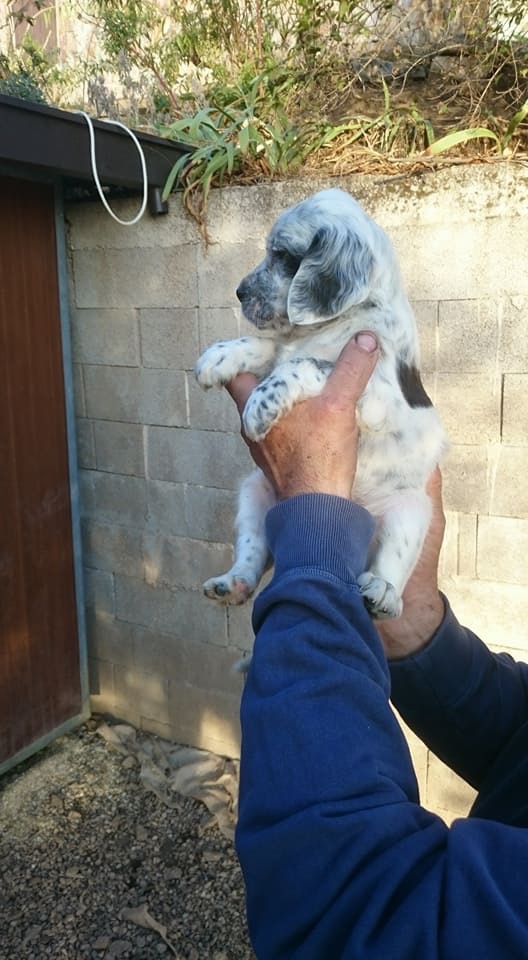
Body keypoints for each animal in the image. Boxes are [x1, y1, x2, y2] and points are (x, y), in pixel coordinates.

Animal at [195, 187, 447, 619]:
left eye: (282, 255)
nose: (239, 292)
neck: (340, 321)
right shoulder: (284, 349)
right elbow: (269, 347)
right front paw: (221, 355)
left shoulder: (377, 396)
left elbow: (305, 362)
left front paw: (260, 404)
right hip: (254, 490)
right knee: (254, 550)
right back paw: (232, 583)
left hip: (412, 510)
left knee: (393, 564)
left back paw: (382, 593)